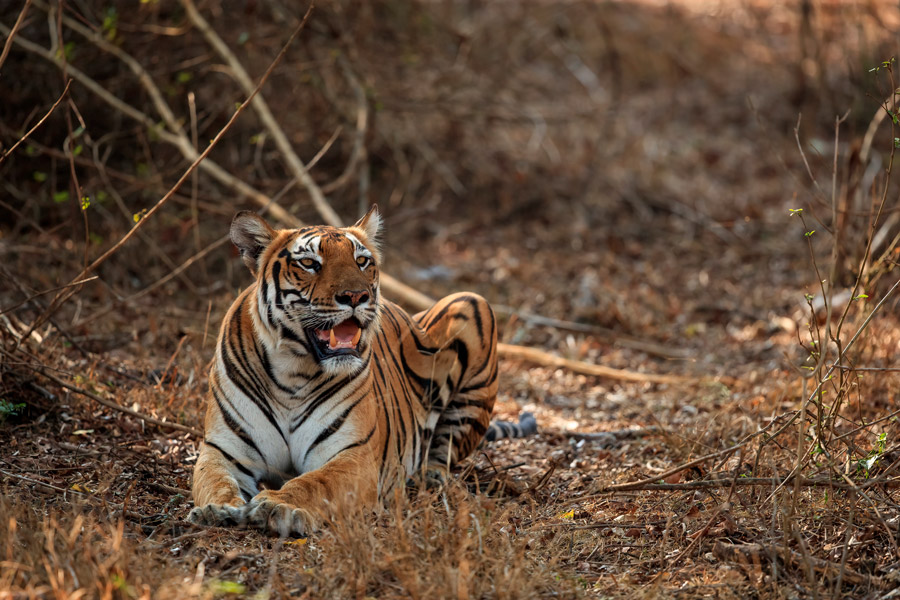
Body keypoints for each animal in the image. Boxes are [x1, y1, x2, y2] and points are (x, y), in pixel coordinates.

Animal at [188, 206, 536, 536]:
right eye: (310, 263)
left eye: (362, 261)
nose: (356, 296)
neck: (292, 374)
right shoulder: (224, 450)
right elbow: (213, 480)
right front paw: (216, 510)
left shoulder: (354, 455)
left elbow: (314, 483)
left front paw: (277, 505)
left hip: (472, 304)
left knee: (444, 450)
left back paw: (427, 478)